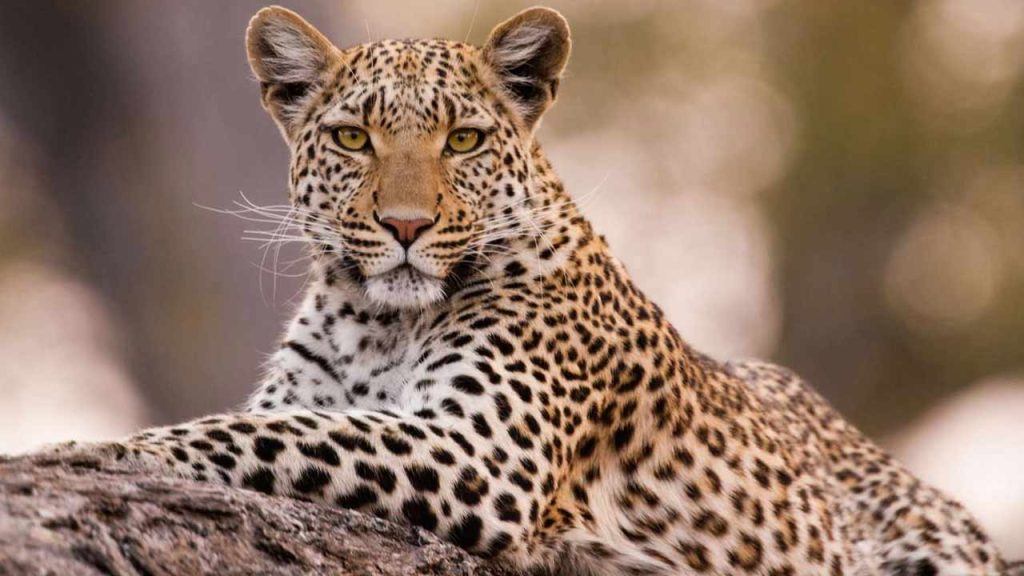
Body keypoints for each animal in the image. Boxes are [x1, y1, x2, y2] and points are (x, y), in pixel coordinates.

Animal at [35, 6, 1010, 575]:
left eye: (463, 140)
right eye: (352, 138)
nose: (404, 226)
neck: (375, 322)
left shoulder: (484, 453)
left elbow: (267, 433)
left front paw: (87, 451)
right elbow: (281, 419)